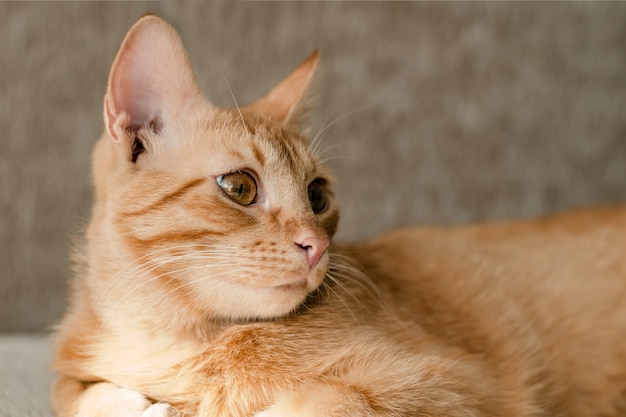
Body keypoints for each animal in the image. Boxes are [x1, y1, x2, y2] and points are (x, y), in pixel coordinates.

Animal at [51, 14, 624, 414]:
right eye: (239, 187)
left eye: (318, 195)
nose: (316, 245)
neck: (175, 346)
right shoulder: (75, 373)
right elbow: (81, 395)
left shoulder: (461, 386)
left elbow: (323, 402)